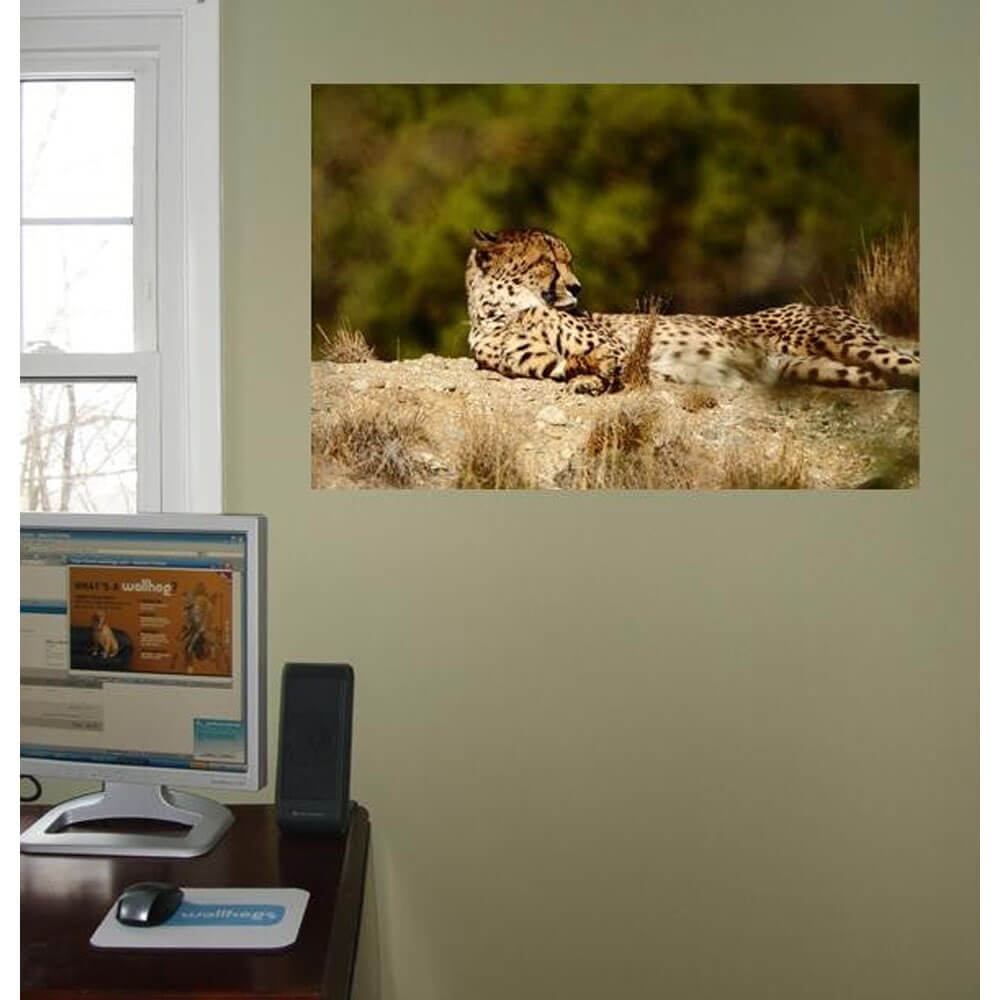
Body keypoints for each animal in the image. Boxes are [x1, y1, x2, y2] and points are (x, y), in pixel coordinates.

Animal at [465, 228, 920, 395]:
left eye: (568, 261)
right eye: (547, 261)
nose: (576, 287)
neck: (503, 310)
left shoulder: (615, 345)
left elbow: (605, 355)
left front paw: (597, 378)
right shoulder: (537, 361)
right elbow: (569, 363)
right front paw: (587, 380)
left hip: (839, 340)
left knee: (907, 361)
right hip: (816, 368)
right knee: (887, 375)